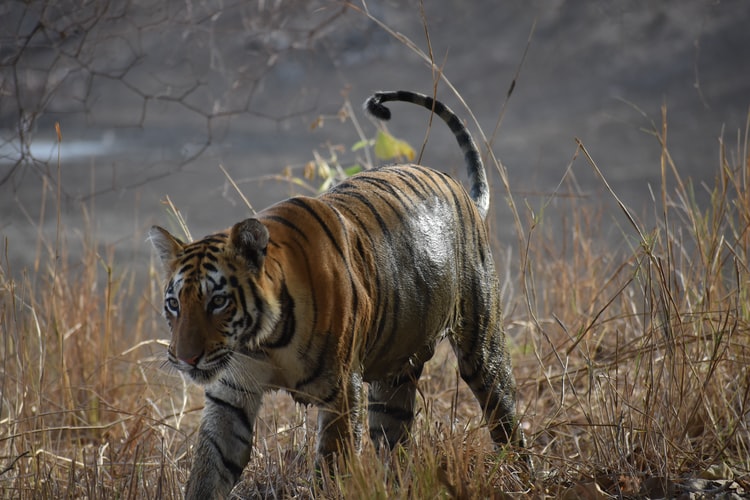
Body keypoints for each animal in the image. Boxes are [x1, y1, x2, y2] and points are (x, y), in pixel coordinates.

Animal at [149, 90, 526, 499]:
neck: (264, 342)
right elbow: (210, 467)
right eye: (174, 304)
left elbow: (332, 463)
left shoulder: (343, 391)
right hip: (394, 379)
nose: (185, 359)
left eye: (218, 301)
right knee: (395, 444)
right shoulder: (230, 393)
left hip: (480, 347)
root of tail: (461, 192)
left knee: (505, 415)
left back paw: (525, 474)